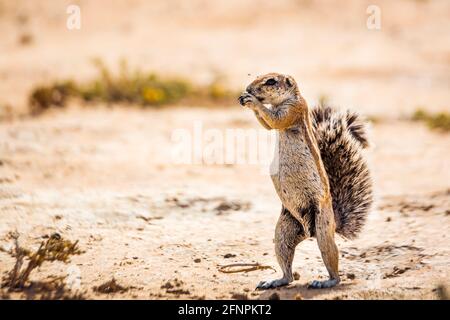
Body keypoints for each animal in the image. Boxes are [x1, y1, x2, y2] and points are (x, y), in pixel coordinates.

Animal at [239, 73, 372, 290]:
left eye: (271, 81)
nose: (249, 89)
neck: (285, 99)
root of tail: (311, 232)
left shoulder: (294, 109)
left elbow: (275, 121)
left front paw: (253, 101)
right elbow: (267, 125)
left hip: (323, 227)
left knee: (331, 259)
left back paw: (326, 282)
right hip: (284, 231)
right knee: (288, 272)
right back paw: (275, 281)